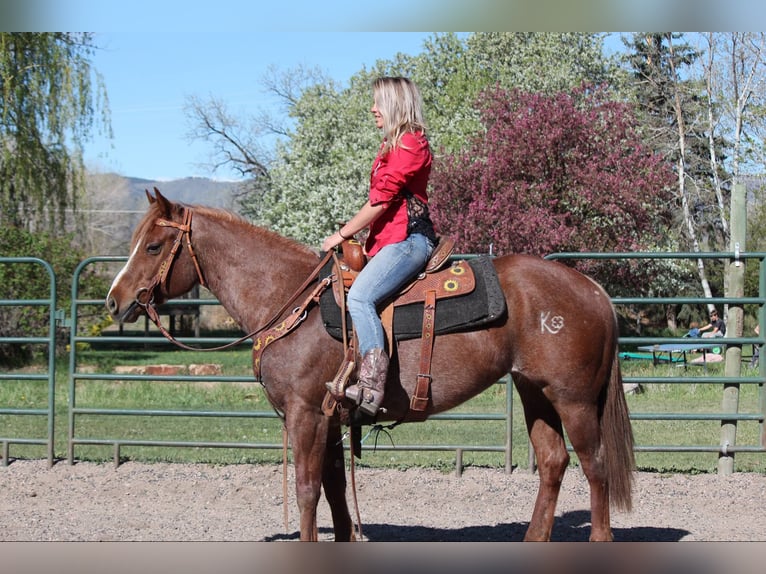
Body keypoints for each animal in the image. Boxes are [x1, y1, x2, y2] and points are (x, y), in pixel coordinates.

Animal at [105, 188, 635, 542]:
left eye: (153, 246)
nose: (115, 302)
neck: (289, 297)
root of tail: (591, 289)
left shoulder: (305, 414)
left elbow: (307, 490)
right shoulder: (330, 418)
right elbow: (336, 490)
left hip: (574, 400)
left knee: (595, 466)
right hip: (533, 391)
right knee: (553, 462)